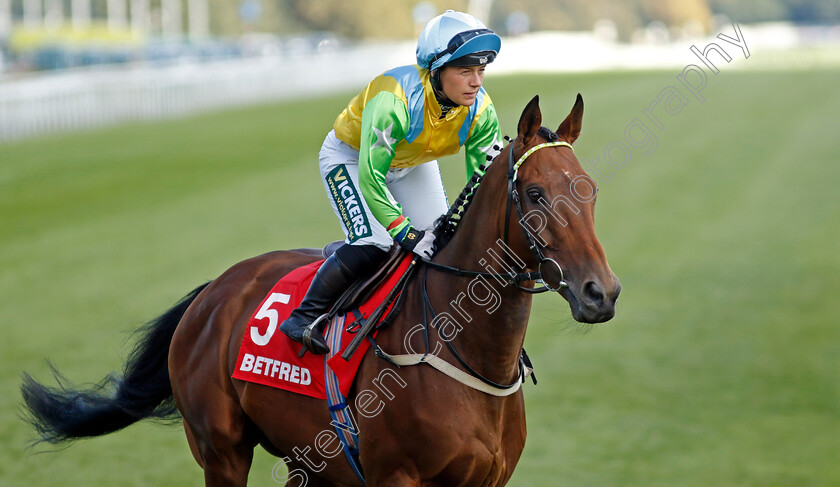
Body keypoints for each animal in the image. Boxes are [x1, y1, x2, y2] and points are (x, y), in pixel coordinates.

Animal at [23, 93, 620, 486]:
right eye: (535, 194)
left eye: (589, 190)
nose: (602, 293)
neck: (467, 358)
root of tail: (212, 291)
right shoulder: (396, 478)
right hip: (222, 451)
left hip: (308, 458)